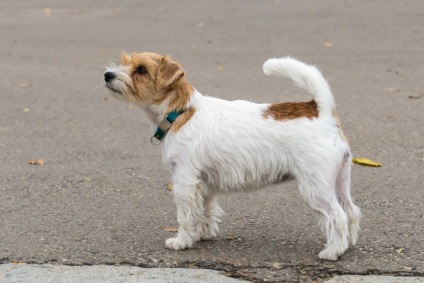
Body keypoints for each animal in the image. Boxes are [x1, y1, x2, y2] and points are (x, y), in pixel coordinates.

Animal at [103, 52, 362, 260]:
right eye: (125, 61)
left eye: (141, 70)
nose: (108, 74)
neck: (180, 111)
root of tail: (323, 111)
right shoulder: (203, 183)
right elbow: (205, 210)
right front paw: (204, 234)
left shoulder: (184, 180)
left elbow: (185, 214)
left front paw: (182, 241)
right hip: (340, 182)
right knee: (351, 211)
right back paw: (348, 244)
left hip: (316, 188)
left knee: (337, 216)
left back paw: (332, 252)